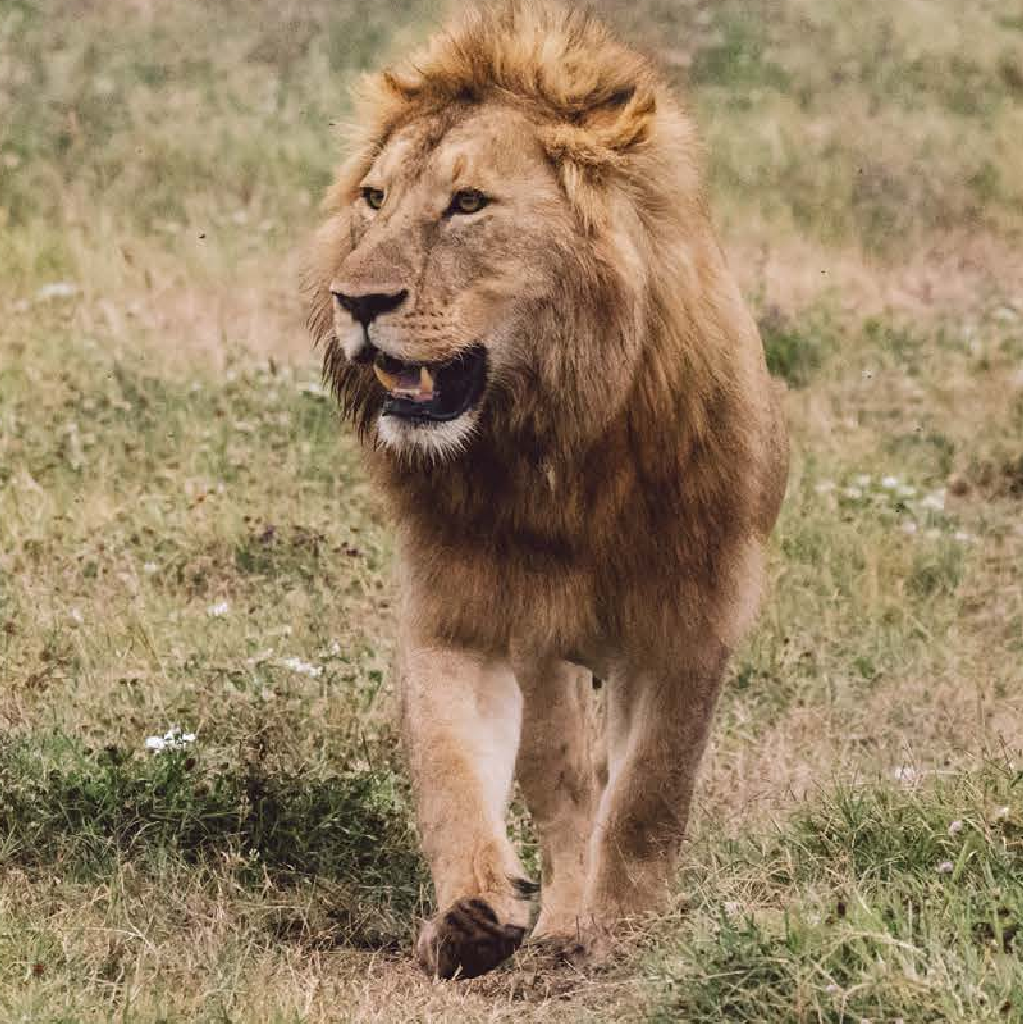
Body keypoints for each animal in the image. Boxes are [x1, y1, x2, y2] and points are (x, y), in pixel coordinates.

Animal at [304, 0, 788, 979]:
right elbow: (455, 771)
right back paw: (555, 922)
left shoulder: (688, 621)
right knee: (565, 788)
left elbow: (648, 800)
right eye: (374, 199)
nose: (354, 300)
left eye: (467, 204)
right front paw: (472, 918)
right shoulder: (463, 615)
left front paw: (624, 935)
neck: (552, 447)